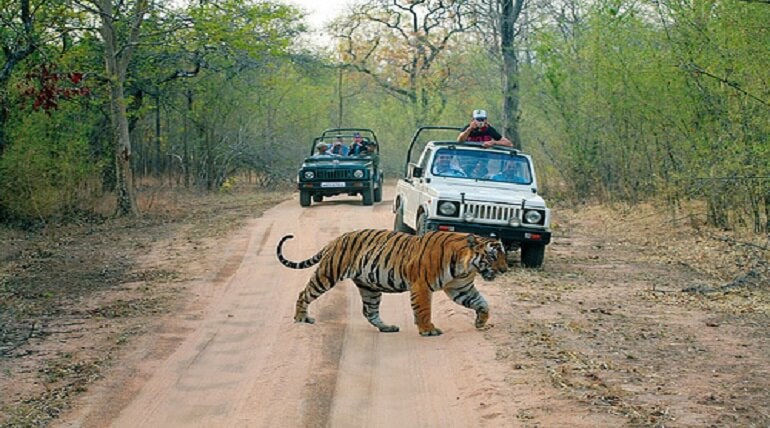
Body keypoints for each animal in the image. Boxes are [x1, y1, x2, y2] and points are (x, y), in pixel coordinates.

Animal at [272, 229, 508, 336]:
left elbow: (482, 303)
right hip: (327, 274)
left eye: (503, 255)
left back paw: (387, 327)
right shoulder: (422, 285)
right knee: (304, 293)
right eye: (493, 256)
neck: (465, 267)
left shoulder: (461, 288)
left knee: (369, 311)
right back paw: (301, 318)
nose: (505, 269)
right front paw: (428, 330)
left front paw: (481, 322)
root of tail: (336, 239)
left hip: (369, 288)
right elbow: (424, 310)